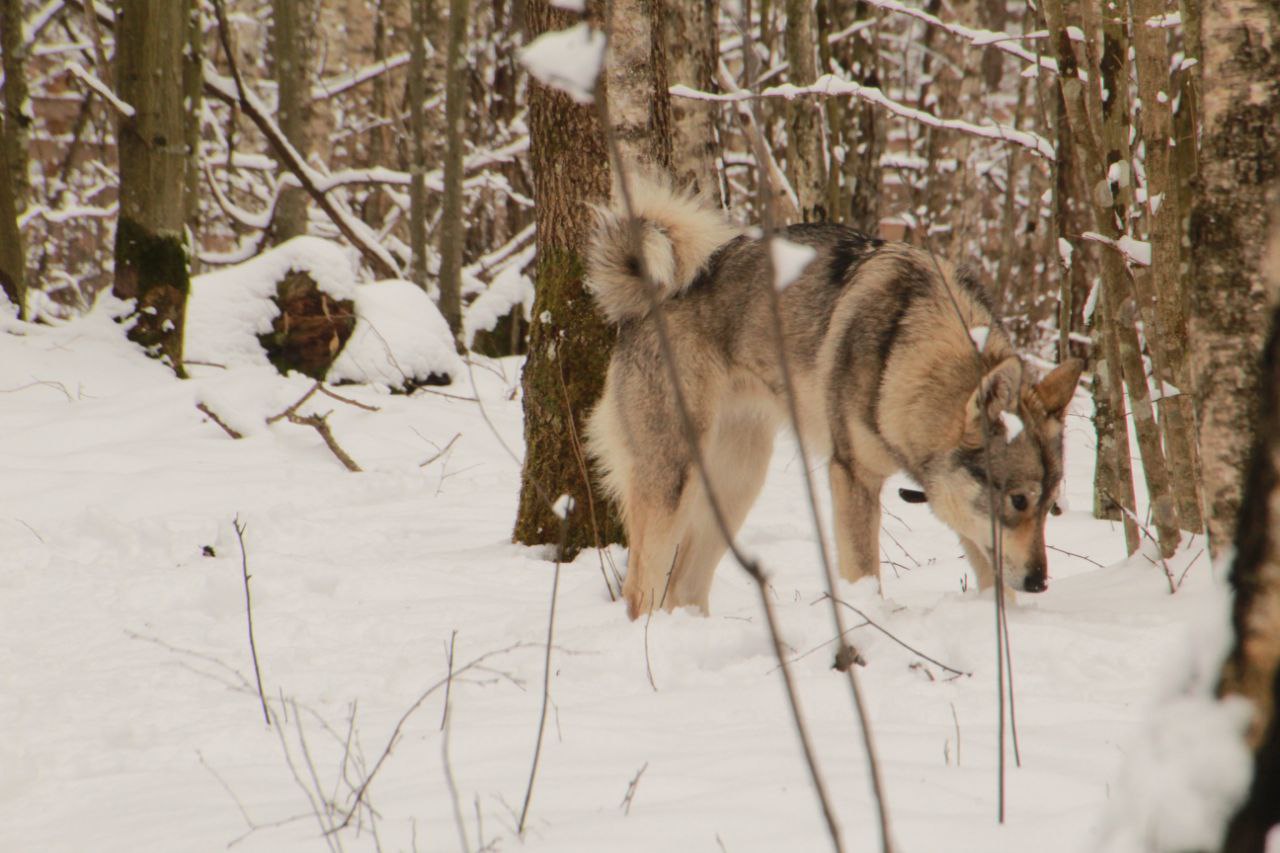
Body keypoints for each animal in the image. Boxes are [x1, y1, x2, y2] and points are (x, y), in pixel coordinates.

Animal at [586, 178, 1085, 617]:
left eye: (1049, 506)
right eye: (1019, 501)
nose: (1040, 582)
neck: (908, 357)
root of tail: (650, 296)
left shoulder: (958, 506)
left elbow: (994, 581)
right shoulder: (852, 475)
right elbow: (865, 573)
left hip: (738, 482)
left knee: (684, 588)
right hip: (675, 482)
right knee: (640, 591)